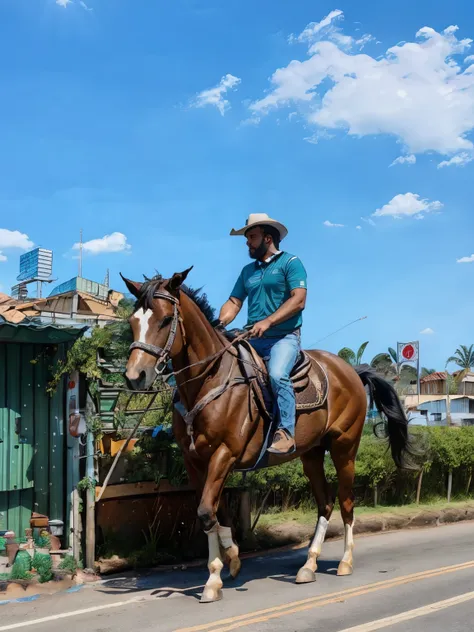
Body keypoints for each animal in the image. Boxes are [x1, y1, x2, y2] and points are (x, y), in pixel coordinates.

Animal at [121, 270, 412, 604]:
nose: (135, 377)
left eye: (167, 319)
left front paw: (215, 576)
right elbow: (213, 512)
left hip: (344, 448)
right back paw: (309, 564)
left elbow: (207, 511)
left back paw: (345, 561)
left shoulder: (225, 453)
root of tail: (351, 371)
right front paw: (231, 562)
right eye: (133, 321)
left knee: (346, 502)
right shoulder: (195, 460)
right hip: (311, 454)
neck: (209, 380)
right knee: (324, 503)